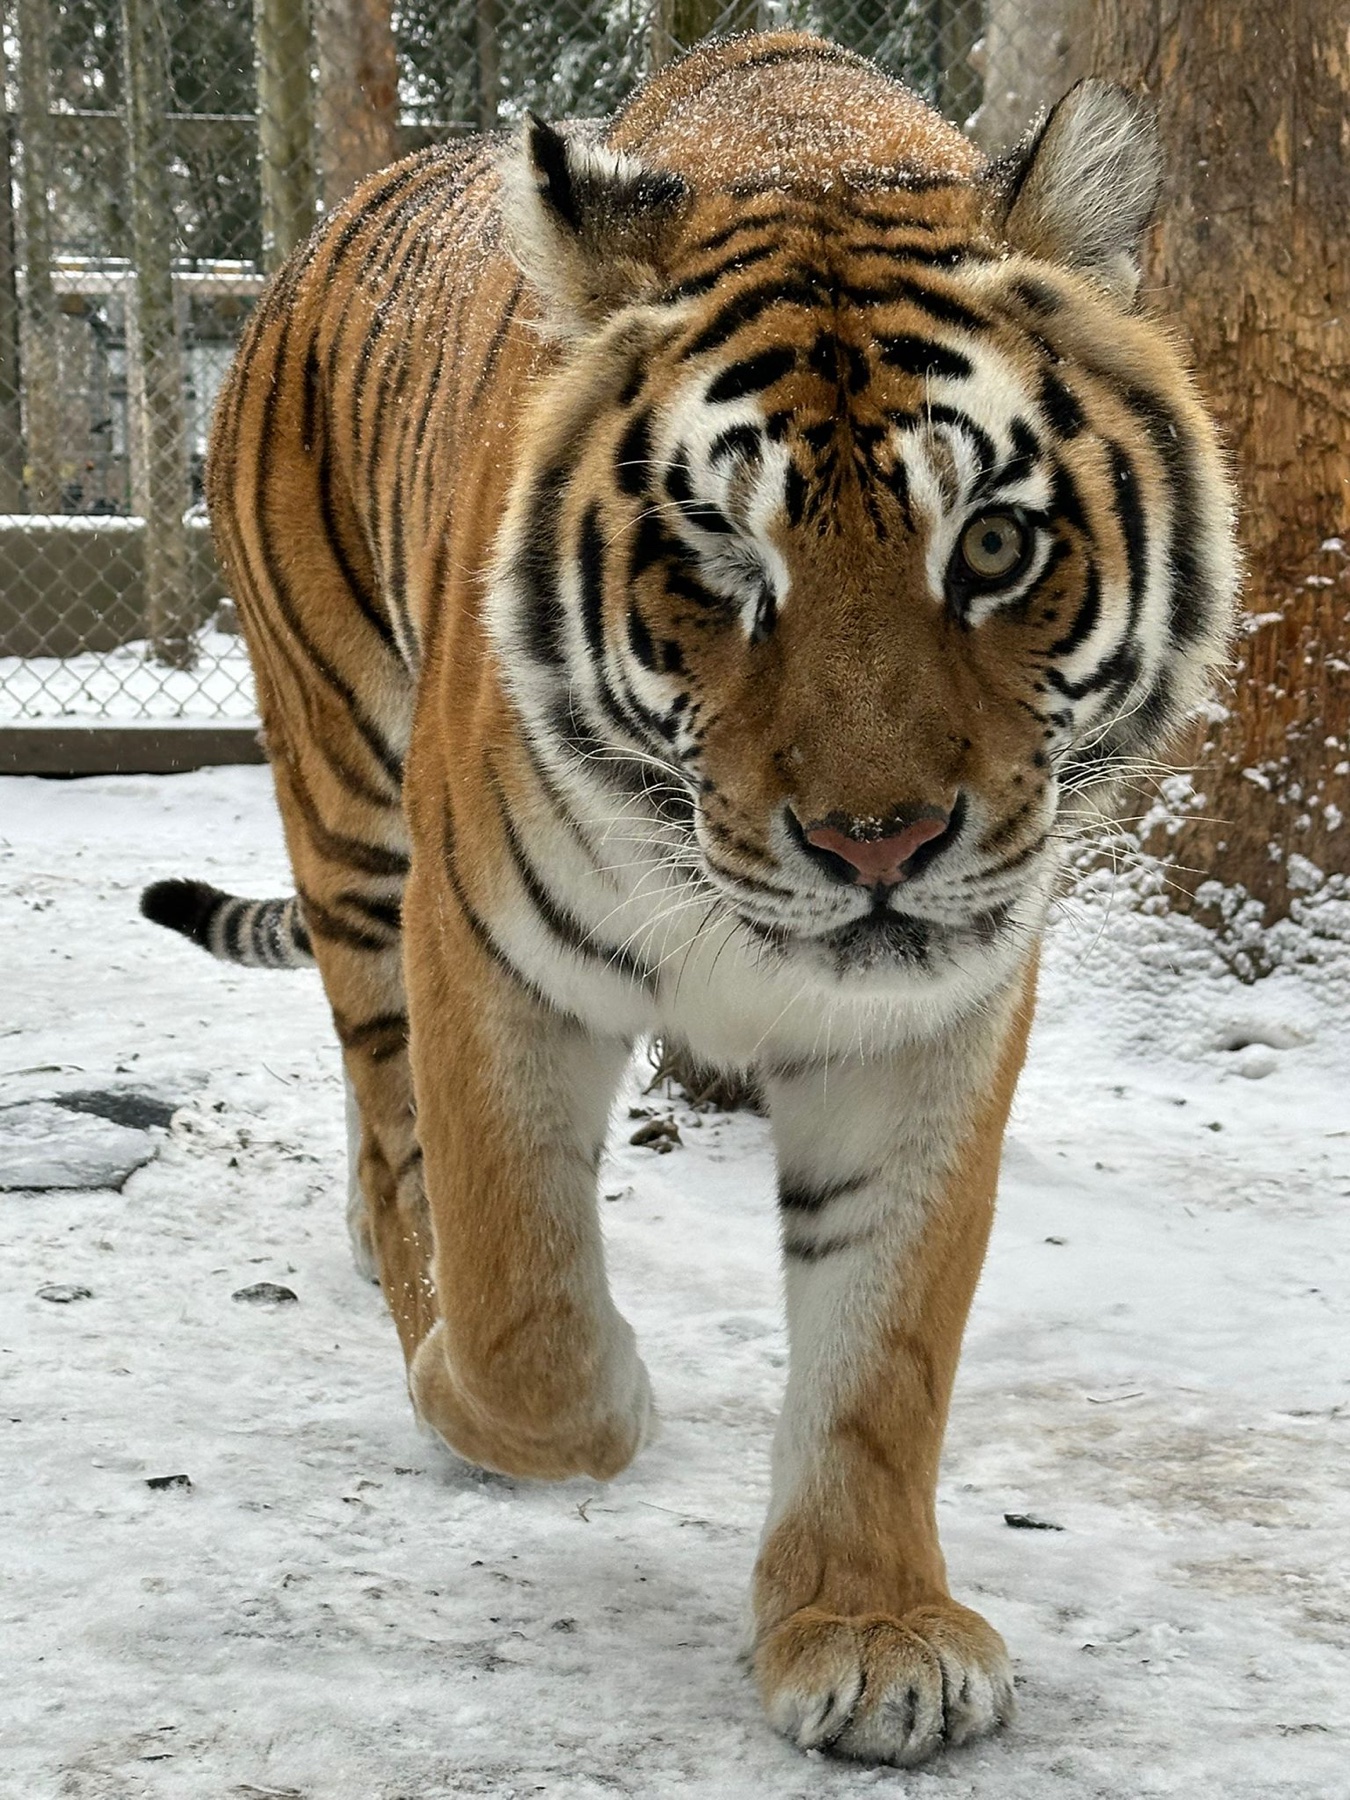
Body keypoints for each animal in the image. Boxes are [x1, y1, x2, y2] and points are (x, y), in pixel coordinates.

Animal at [140, 31, 1237, 1766]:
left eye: (994, 544)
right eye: (722, 558)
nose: (876, 844)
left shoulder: (930, 1028)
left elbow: (882, 1349)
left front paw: (868, 1629)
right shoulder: (492, 961)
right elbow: (522, 1306)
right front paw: (505, 1393)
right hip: (351, 817)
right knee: (392, 1135)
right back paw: (410, 1306)